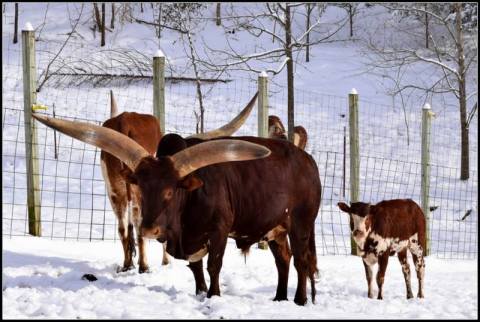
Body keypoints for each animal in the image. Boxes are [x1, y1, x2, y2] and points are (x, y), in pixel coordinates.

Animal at [33, 114, 322, 306]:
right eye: (139, 188)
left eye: (170, 191)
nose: (149, 229)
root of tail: (307, 160)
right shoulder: (189, 240)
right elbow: (196, 268)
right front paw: (200, 293)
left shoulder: (219, 230)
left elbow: (214, 265)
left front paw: (214, 296)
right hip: (276, 228)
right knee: (283, 259)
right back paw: (279, 298)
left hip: (301, 223)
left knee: (301, 260)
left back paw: (299, 300)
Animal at [99, 92, 256, 272]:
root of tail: (123, 121)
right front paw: (166, 261)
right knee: (139, 228)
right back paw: (144, 265)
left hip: (114, 190)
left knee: (123, 228)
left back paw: (127, 264)